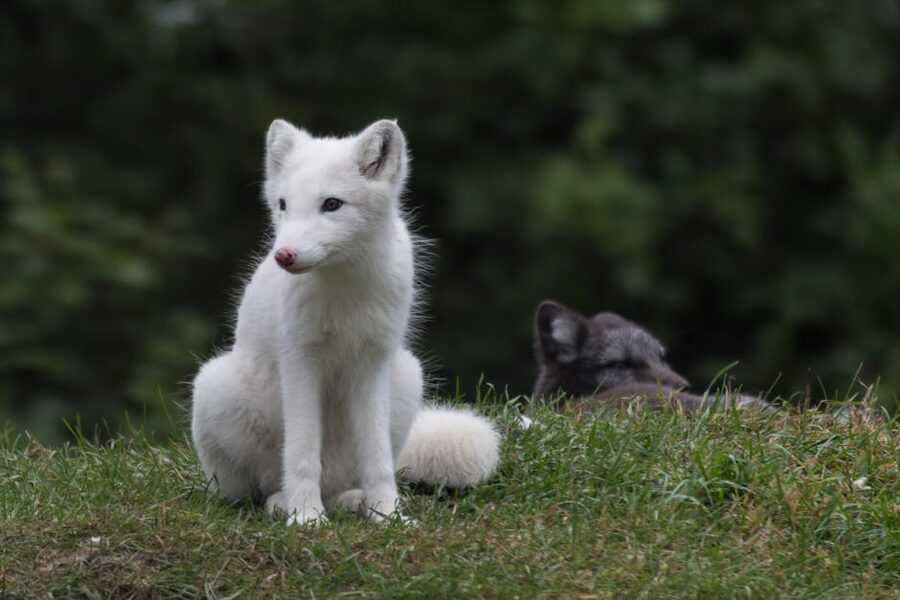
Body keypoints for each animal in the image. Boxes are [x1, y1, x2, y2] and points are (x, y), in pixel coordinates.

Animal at [191, 118, 499, 526]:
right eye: (283, 205)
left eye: (332, 204)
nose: (283, 255)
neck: (344, 287)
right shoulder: (300, 361)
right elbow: (303, 455)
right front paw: (306, 518)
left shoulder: (372, 363)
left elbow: (378, 460)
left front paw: (388, 516)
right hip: (214, 387)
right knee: (252, 493)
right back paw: (283, 503)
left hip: (408, 375)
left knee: (350, 482)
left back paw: (353, 502)